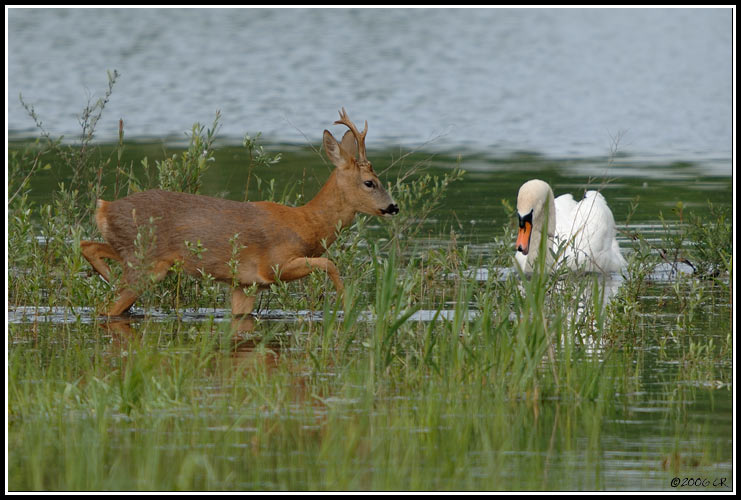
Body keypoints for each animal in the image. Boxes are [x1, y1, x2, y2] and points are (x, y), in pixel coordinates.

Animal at [80, 108, 399, 319]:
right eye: (370, 182)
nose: (393, 207)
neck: (307, 224)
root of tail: (104, 208)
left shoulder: (246, 284)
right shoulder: (276, 266)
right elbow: (329, 263)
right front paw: (349, 306)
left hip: (135, 255)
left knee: (89, 246)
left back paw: (104, 273)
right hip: (144, 263)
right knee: (106, 306)